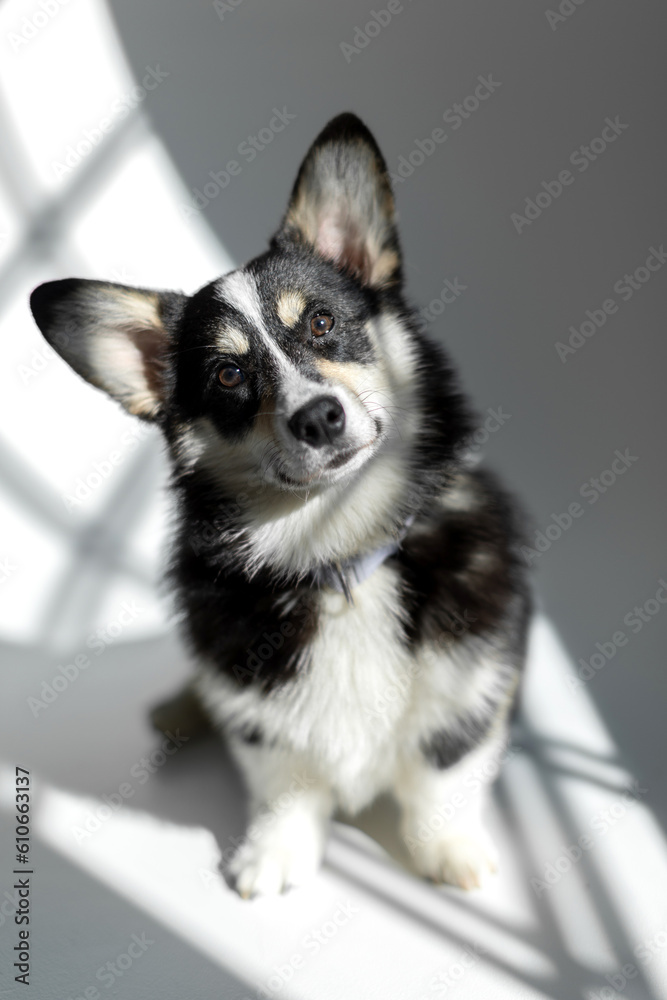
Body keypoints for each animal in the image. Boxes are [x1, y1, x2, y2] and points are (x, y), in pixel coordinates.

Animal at [30, 113, 532, 896]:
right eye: (227, 374)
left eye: (322, 323)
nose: (318, 417)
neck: (340, 554)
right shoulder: (256, 710)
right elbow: (286, 786)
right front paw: (272, 858)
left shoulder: (471, 688)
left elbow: (442, 774)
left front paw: (451, 855)